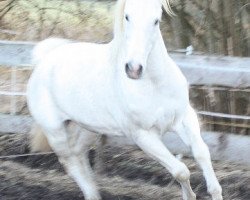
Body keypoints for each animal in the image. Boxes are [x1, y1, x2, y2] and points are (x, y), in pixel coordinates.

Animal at [27, 0, 223, 200]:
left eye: (156, 20)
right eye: (127, 16)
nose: (134, 69)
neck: (155, 84)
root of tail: (44, 59)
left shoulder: (185, 117)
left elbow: (202, 153)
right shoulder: (142, 135)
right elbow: (181, 171)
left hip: (87, 129)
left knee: (78, 154)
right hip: (55, 132)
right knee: (69, 162)